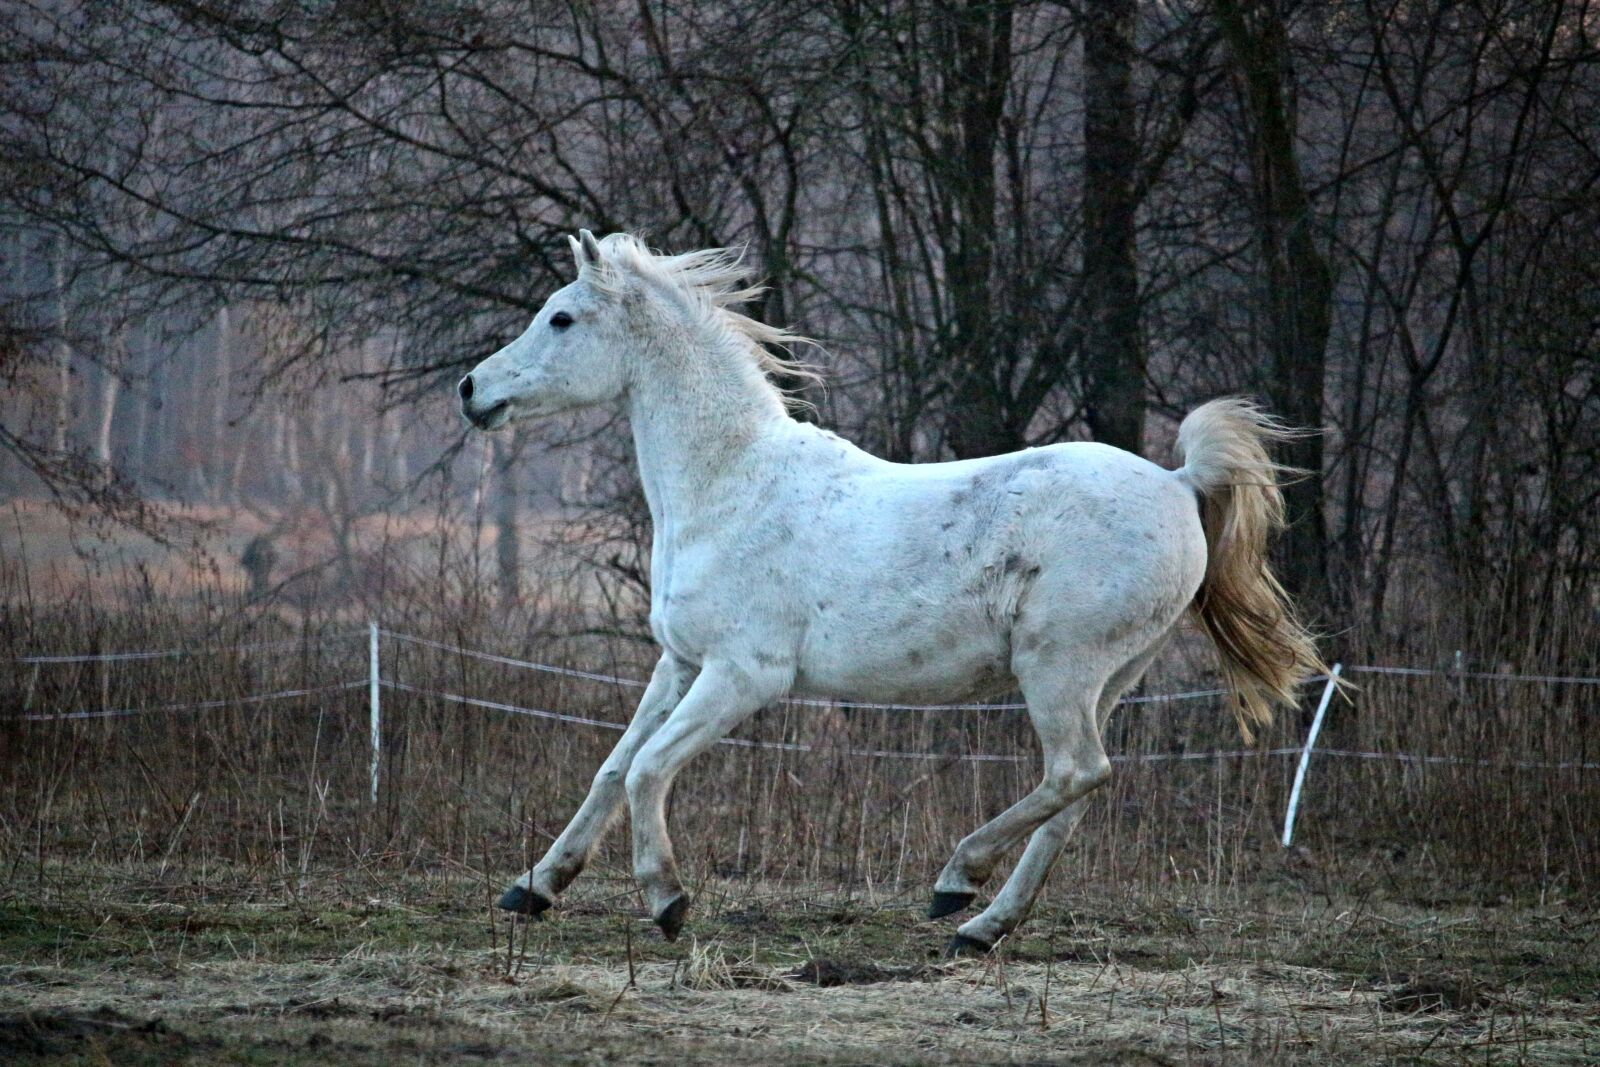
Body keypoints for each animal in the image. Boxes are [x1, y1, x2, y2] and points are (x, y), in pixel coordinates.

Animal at [457, 230, 1327, 956]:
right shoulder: (680, 661)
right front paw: (533, 888)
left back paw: (956, 882)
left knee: (1075, 773)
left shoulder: (744, 674)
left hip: (1059, 667)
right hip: (1111, 677)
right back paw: (981, 927)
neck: (731, 482)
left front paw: (667, 901)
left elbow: (647, 769)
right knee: (1080, 792)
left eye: (562, 318)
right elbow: (613, 767)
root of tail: (1180, 483)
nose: (471, 390)